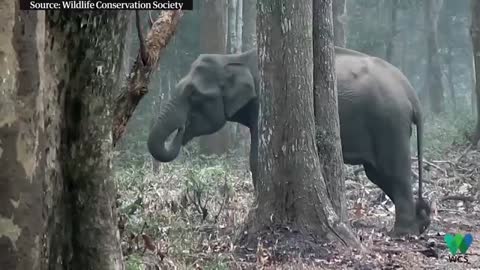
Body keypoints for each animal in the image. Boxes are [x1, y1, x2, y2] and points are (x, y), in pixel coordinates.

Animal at [147, 47, 432, 237]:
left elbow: (256, 159)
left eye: (194, 95)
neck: (235, 58)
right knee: (379, 174)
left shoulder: (263, 105)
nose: (181, 130)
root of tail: (411, 93)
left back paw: (401, 233)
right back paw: (421, 223)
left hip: (389, 123)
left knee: (393, 172)